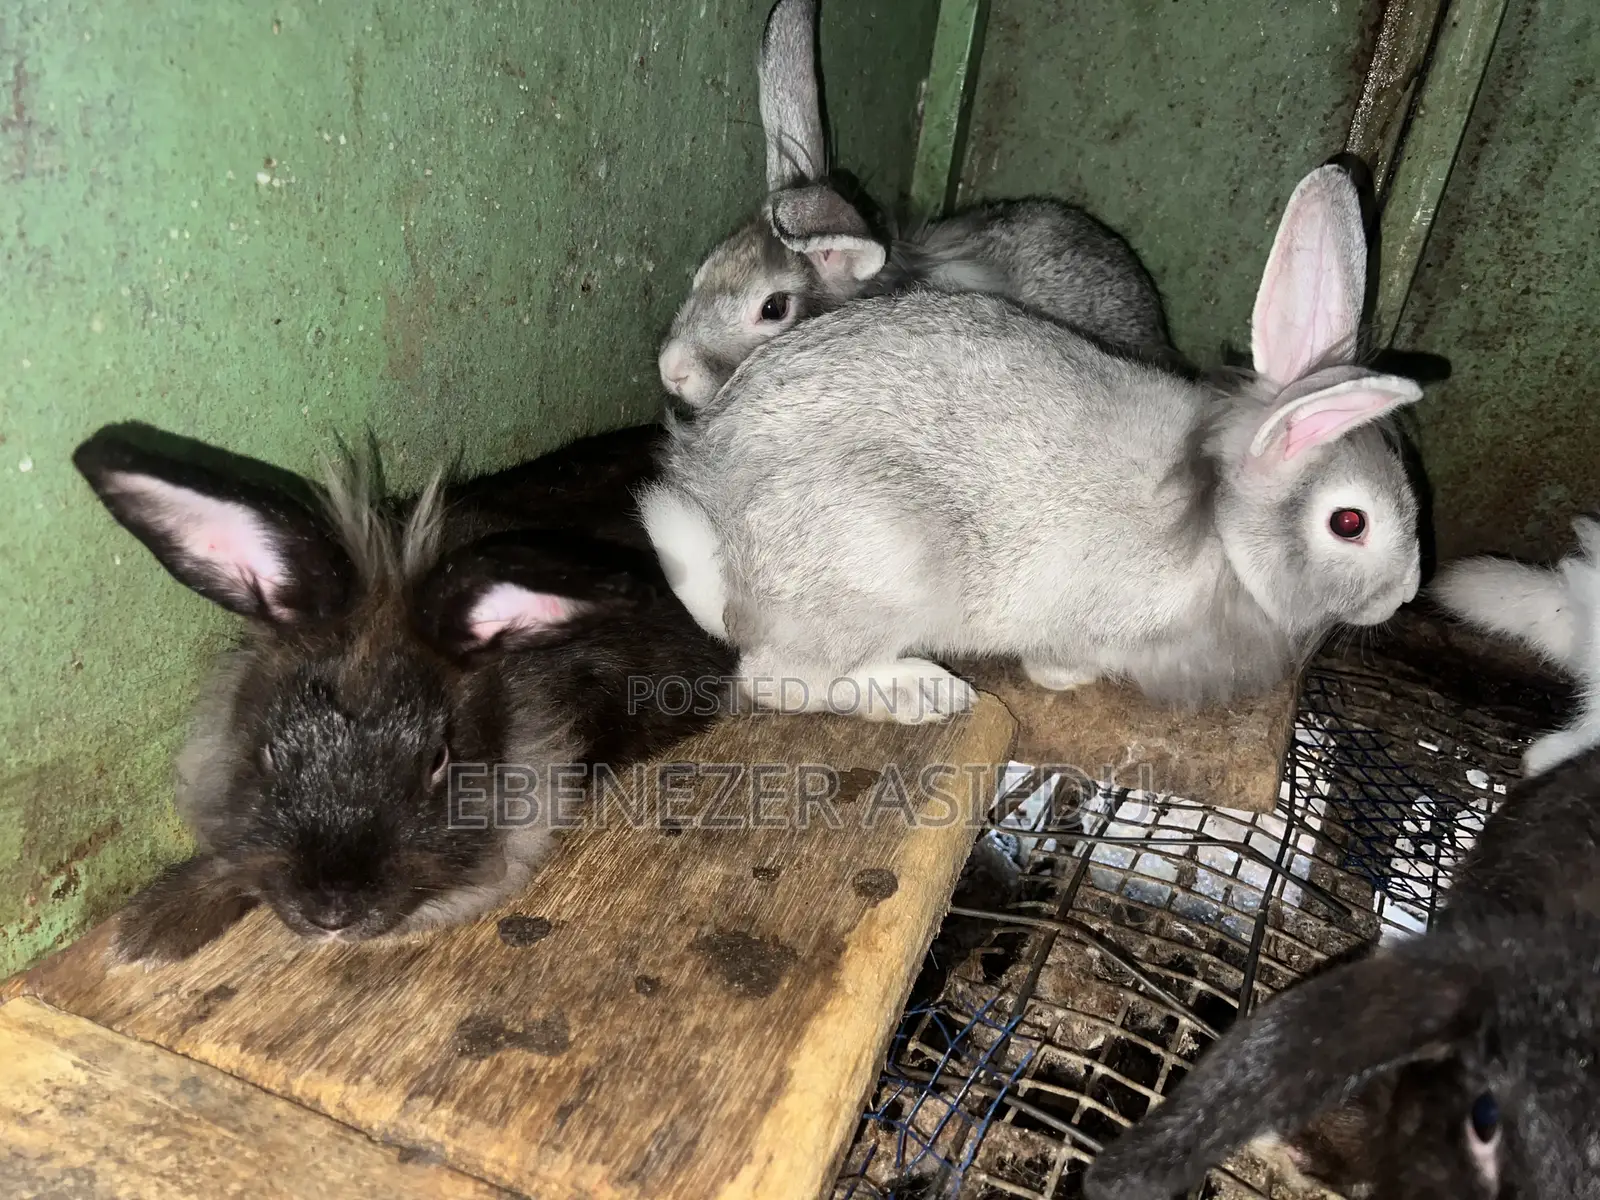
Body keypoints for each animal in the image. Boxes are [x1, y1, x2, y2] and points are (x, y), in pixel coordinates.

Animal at [641, 162, 1426, 725]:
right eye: (1349, 523)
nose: (1406, 596)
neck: (1220, 520)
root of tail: (724, 547)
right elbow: (1062, 662)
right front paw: (1064, 678)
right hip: (878, 567)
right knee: (777, 677)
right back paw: (927, 695)